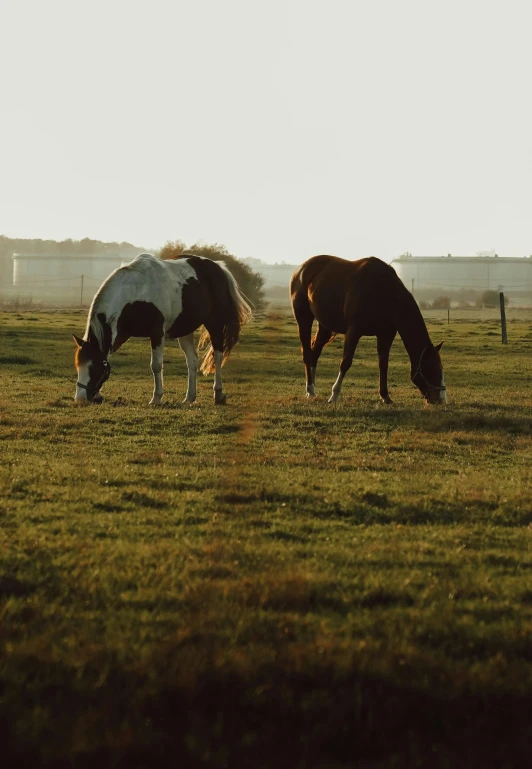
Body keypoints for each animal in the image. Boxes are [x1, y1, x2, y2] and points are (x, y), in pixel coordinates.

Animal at [73, 255, 254, 404]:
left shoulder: (157, 334)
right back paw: (189, 397)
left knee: (217, 357)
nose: (80, 398)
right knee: (192, 361)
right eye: (78, 365)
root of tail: (218, 268)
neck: (136, 291)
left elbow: (156, 365)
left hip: (215, 324)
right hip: (185, 330)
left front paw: (156, 398)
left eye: (93, 367)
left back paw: (218, 394)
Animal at [288, 255, 446, 404]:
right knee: (307, 353)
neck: (384, 292)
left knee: (315, 353)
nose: (441, 399)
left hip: (325, 326)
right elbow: (345, 363)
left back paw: (313, 388)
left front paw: (385, 396)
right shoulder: (353, 331)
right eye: (431, 368)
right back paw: (309, 391)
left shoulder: (386, 335)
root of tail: (301, 269)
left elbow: (383, 365)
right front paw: (334, 395)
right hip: (304, 320)